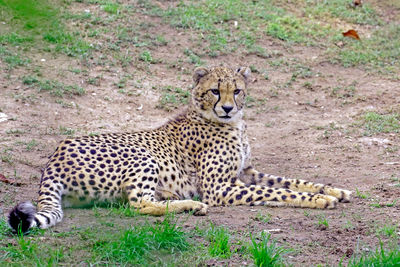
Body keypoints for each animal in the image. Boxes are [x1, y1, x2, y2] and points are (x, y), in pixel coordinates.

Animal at [7, 67, 350, 234]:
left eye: (237, 90)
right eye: (215, 90)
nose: (228, 108)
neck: (231, 124)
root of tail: (54, 156)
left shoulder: (247, 173)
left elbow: (288, 181)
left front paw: (335, 190)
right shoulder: (219, 188)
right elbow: (279, 192)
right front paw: (319, 200)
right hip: (141, 156)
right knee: (138, 205)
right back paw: (191, 205)